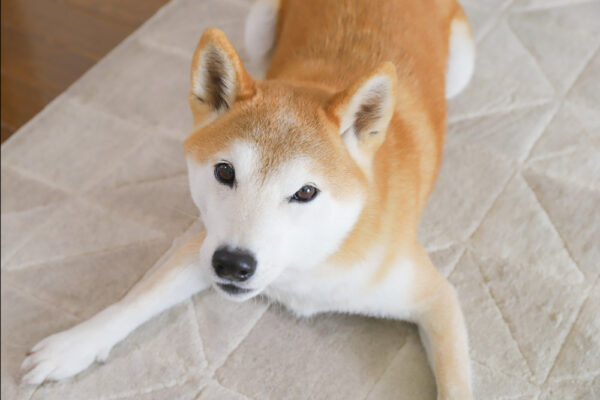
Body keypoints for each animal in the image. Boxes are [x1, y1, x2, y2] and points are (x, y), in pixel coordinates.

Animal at [21, 1, 476, 398]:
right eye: (225, 172)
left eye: (305, 192)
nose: (232, 264)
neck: (310, 259)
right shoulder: (202, 245)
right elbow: (136, 300)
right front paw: (73, 345)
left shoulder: (437, 298)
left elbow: (457, 382)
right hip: (259, 22)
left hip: (462, 67)